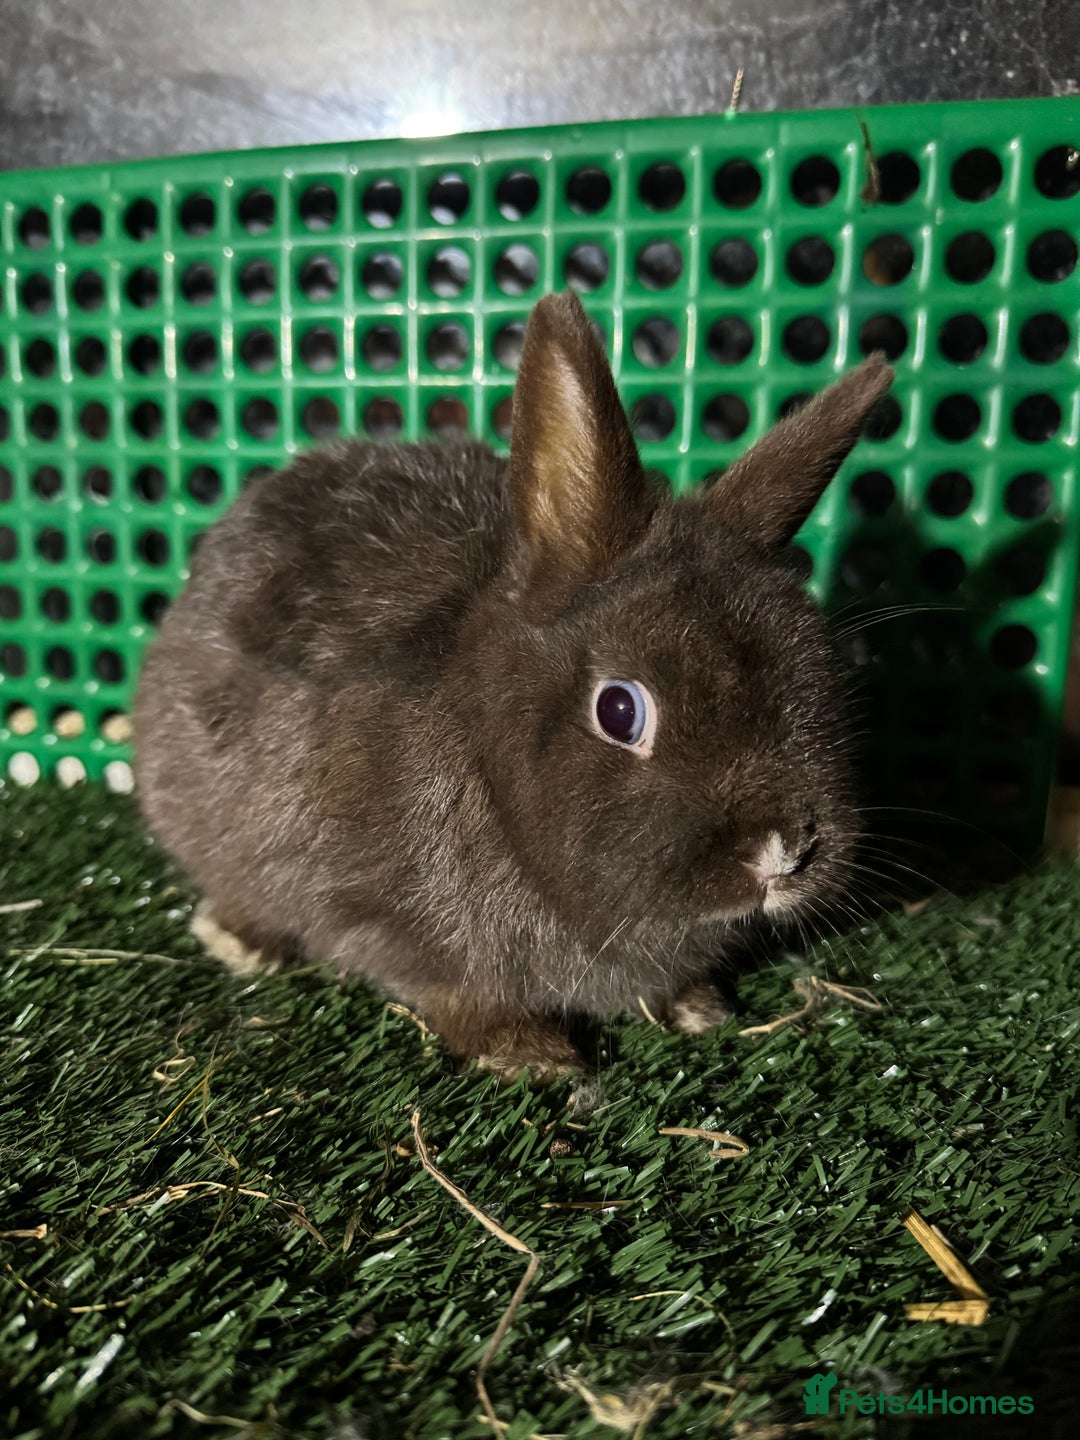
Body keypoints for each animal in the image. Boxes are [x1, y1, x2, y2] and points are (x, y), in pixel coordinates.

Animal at [134, 291, 892, 1081]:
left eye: (819, 671)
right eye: (620, 710)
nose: (783, 852)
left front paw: (696, 1007)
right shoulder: (384, 924)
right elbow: (456, 994)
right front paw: (536, 1056)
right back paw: (239, 942)